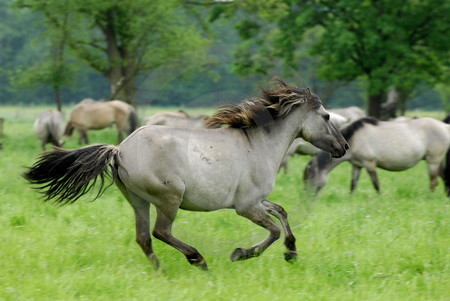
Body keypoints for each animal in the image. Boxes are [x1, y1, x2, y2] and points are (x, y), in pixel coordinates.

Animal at [23, 77, 348, 270]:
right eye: (326, 116)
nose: (343, 147)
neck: (258, 145)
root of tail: (119, 149)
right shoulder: (245, 206)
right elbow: (273, 229)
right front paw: (242, 253)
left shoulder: (256, 201)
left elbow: (281, 212)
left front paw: (291, 251)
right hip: (169, 199)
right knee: (160, 232)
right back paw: (198, 259)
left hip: (138, 201)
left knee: (144, 237)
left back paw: (161, 272)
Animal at [302, 116, 450, 193]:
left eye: (310, 177)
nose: (306, 198)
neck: (354, 138)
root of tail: (444, 126)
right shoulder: (357, 165)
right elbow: (353, 185)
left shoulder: (370, 163)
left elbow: (376, 184)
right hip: (435, 160)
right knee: (443, 176)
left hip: (433, 160)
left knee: (434, 181)